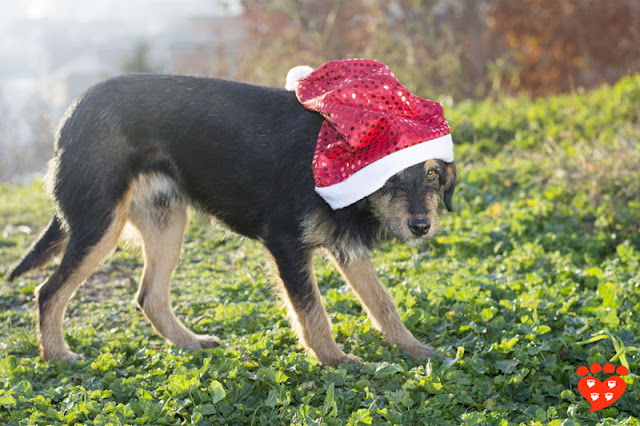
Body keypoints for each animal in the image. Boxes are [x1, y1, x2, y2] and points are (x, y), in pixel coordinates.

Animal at [7, 73, 452, 366]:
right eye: (390, 176)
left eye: (432, 174)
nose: (421, 227)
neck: (334, 146)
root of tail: (70, 115)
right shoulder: (286, 245)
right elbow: (312, 312)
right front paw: (335, 361)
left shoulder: (348, 249)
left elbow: (383, 302)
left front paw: (414, 349)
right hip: (99, 225)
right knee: (48, 292)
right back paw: (58, 356)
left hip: (167, 221)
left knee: (149, 296)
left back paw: (187, 343)